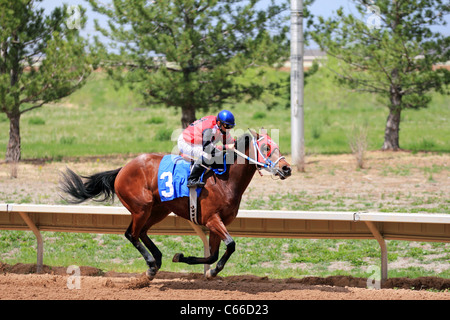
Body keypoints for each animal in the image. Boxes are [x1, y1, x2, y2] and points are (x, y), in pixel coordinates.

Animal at [59, 129, 292, 278]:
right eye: (266, 146)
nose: (287, 168)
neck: (225, 180)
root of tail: (123, 169)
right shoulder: (212, 219)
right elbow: (230, 245)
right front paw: (211, 269)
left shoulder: (218, 223)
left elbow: (213, 254)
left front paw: (188, 260)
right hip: (141, 207)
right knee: (131, 234)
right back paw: (151, 265)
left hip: (158, 210)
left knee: (141, 233)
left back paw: (158, 259)